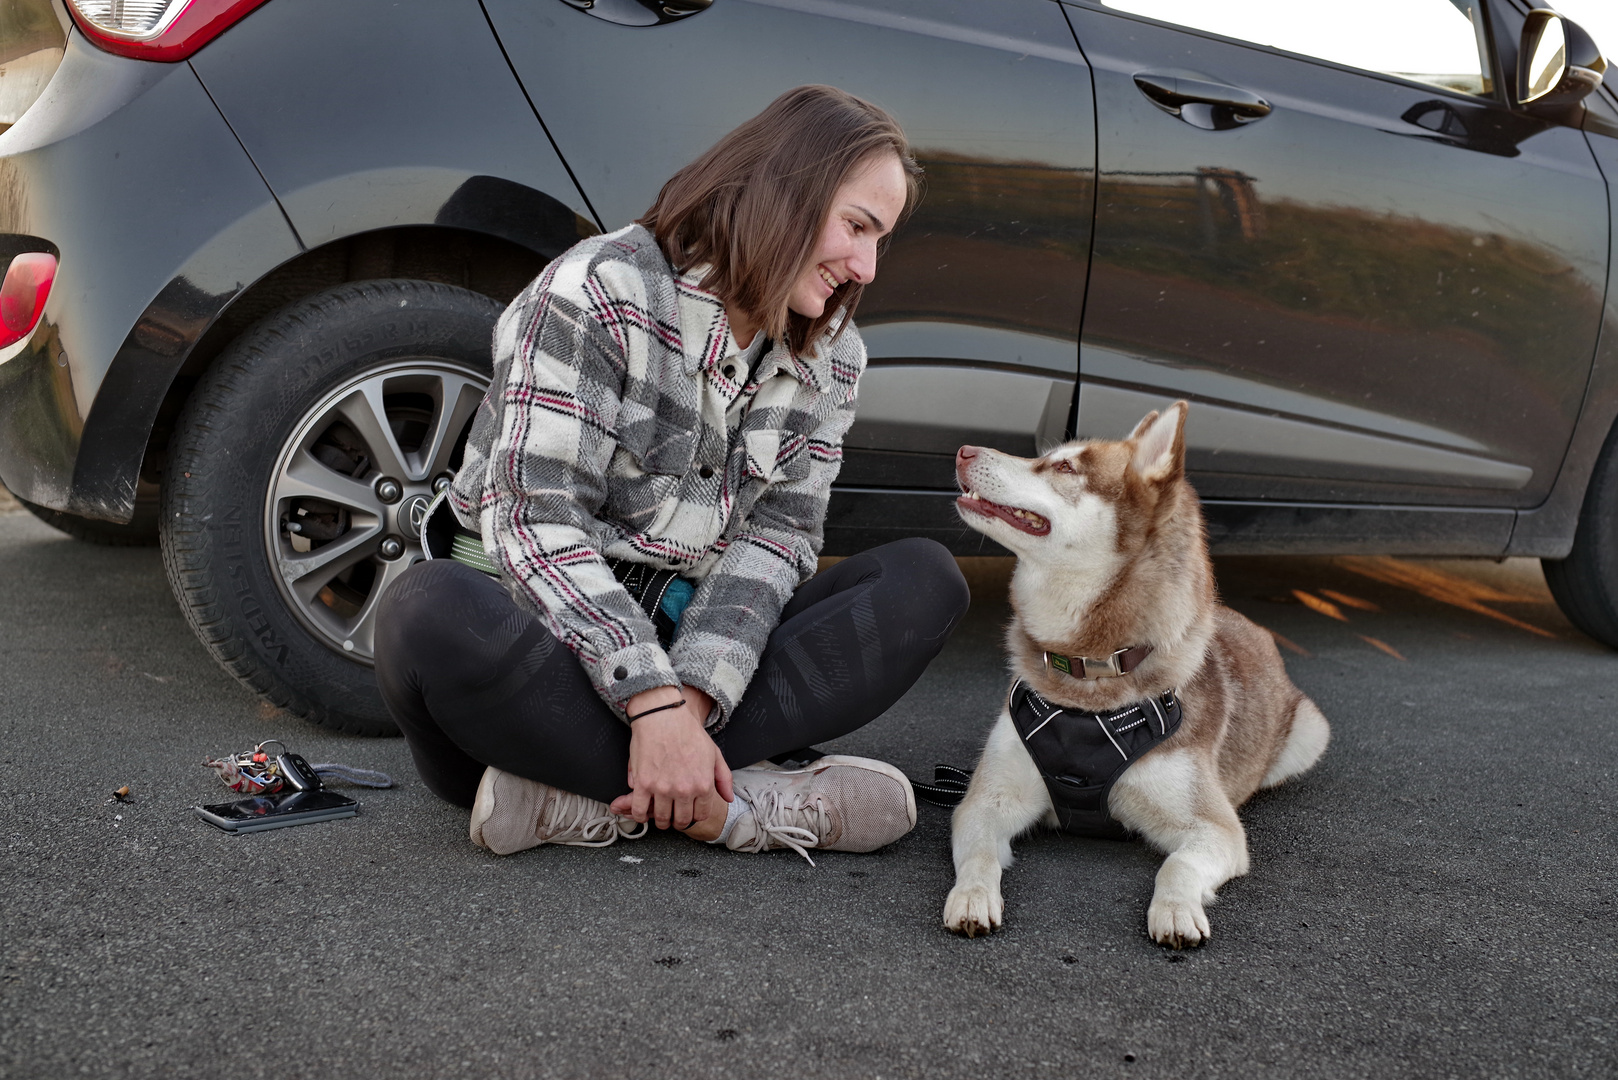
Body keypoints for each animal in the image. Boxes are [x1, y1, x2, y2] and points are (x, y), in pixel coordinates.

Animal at [944, 399, 1326, 945]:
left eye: (1065, 467)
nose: (963, 450)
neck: (1091, 669)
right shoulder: (985, 801)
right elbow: (978, 855)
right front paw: (973, 896)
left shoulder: (1215, 828)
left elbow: (1177, 865)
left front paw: (1176, 909)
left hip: (1312, 731)